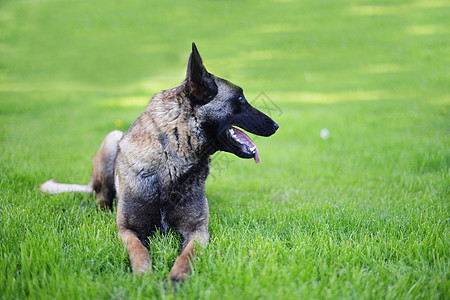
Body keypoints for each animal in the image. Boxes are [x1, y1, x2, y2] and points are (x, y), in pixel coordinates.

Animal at [39, 42, 278, 286]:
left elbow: (186, 256)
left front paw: (174, 279)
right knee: (100, 196)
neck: (170, 162)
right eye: (240, 99)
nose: (276, 125)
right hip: (111, 140)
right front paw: (144, 278)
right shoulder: (128, 230)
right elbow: (139, 252)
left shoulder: (198, 231)